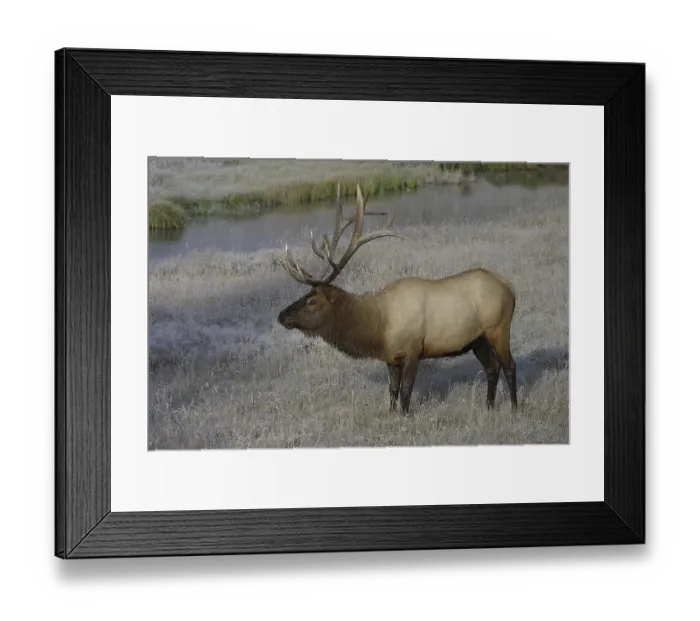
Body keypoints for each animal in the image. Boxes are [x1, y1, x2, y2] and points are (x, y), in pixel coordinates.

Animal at [277, 182, 518, 416]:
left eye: (312, 302)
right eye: (305, 296)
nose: (281, 316)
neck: (379, 328)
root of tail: (510, 287)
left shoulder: (413, 350)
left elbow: (406, 392)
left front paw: (405, 416)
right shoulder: (391, 358)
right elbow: (392, 390)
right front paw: (392, 414)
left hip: (499, 328)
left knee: (509, 366)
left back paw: (515, 407)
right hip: (477, 339)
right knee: (492, 368)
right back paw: (489, 406)